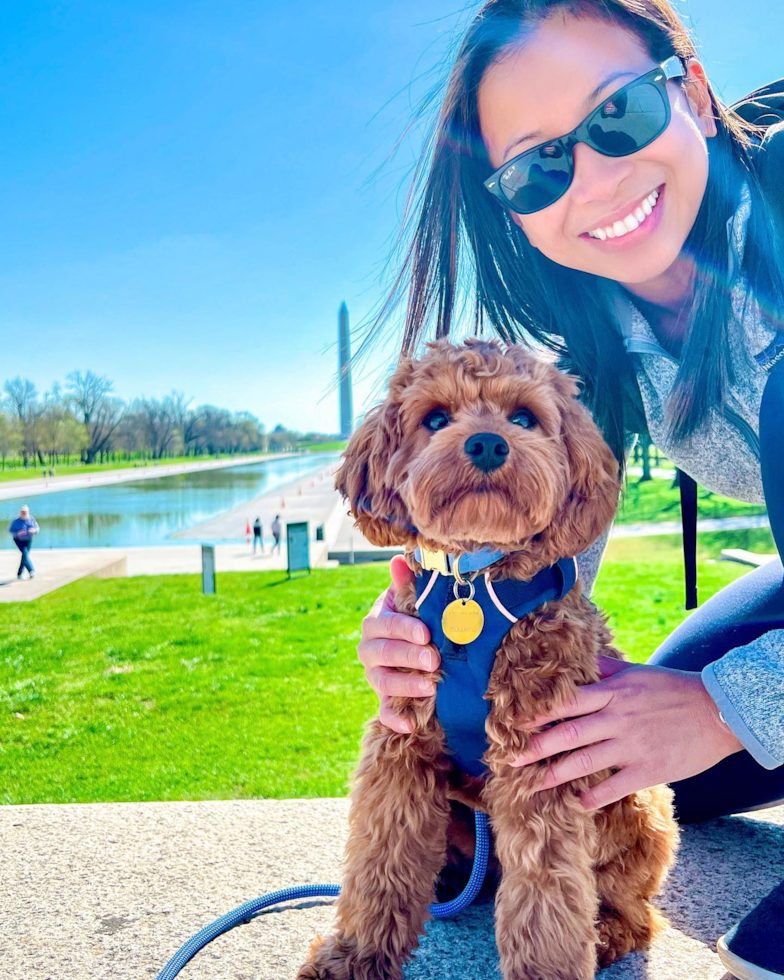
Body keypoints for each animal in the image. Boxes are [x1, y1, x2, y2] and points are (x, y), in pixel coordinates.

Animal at [298, 338, 676, 980]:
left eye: (523, 418)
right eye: (435, 418)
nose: (488, 443)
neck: (472, 580)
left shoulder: (542, 760)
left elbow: (546, 898)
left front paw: (548, 971)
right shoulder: (401, 745)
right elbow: (380, 862)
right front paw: (357, 955)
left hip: (639, 808)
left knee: (632, 908)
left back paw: (605, 932)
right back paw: (450, 882)